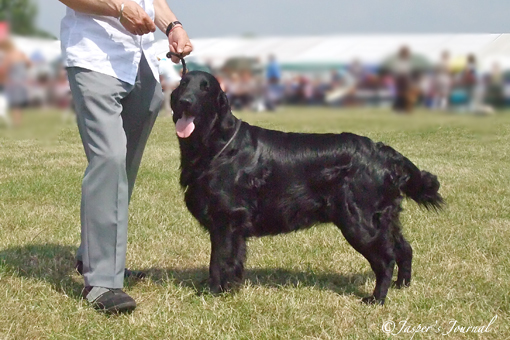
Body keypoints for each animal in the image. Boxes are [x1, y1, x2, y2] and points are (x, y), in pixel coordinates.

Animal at [171, 70, 442, 304]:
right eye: (183, 84)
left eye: (205, 88)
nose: (185, 101)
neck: (218, 145)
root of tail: (383, 152)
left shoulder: (226, 219)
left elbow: (219, 261)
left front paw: (212, 291)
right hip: (385, 218)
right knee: (404, 248)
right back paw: (402, 285)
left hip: (359, 222)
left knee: (386, 259)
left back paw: (376, 299)